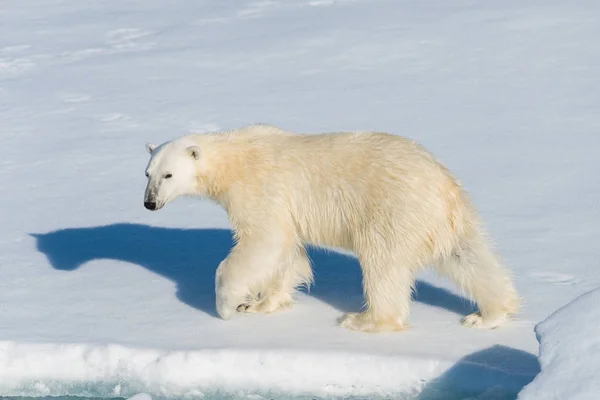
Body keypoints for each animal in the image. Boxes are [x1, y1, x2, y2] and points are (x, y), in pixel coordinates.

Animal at [143, 124, 516, 332]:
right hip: (446, 221)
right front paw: (263, 304)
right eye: (147, 173)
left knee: (382, 265)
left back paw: (365, 320)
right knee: (468, 258)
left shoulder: (261, 189)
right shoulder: (285, 209)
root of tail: (442, 186)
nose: (149, 203)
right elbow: (288, 253)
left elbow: (264, 240)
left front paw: (229, 306)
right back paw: (490, 314)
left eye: (169, 175)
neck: (233, 158)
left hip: (392, 211)